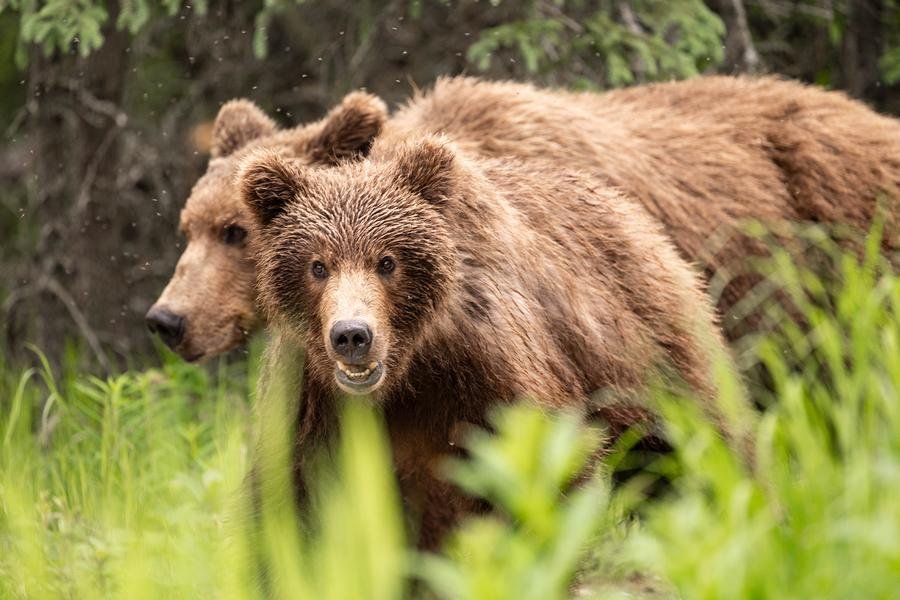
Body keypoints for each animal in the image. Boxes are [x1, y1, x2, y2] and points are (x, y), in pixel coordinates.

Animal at [237, 135, 748, 548]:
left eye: (387, 261)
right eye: (317, 265)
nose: (352, 335)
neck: (407, 374)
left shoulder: (489, 363)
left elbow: (542, 467)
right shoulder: (310, 396)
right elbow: (288, 499)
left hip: (647, 353)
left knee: (698, 445)